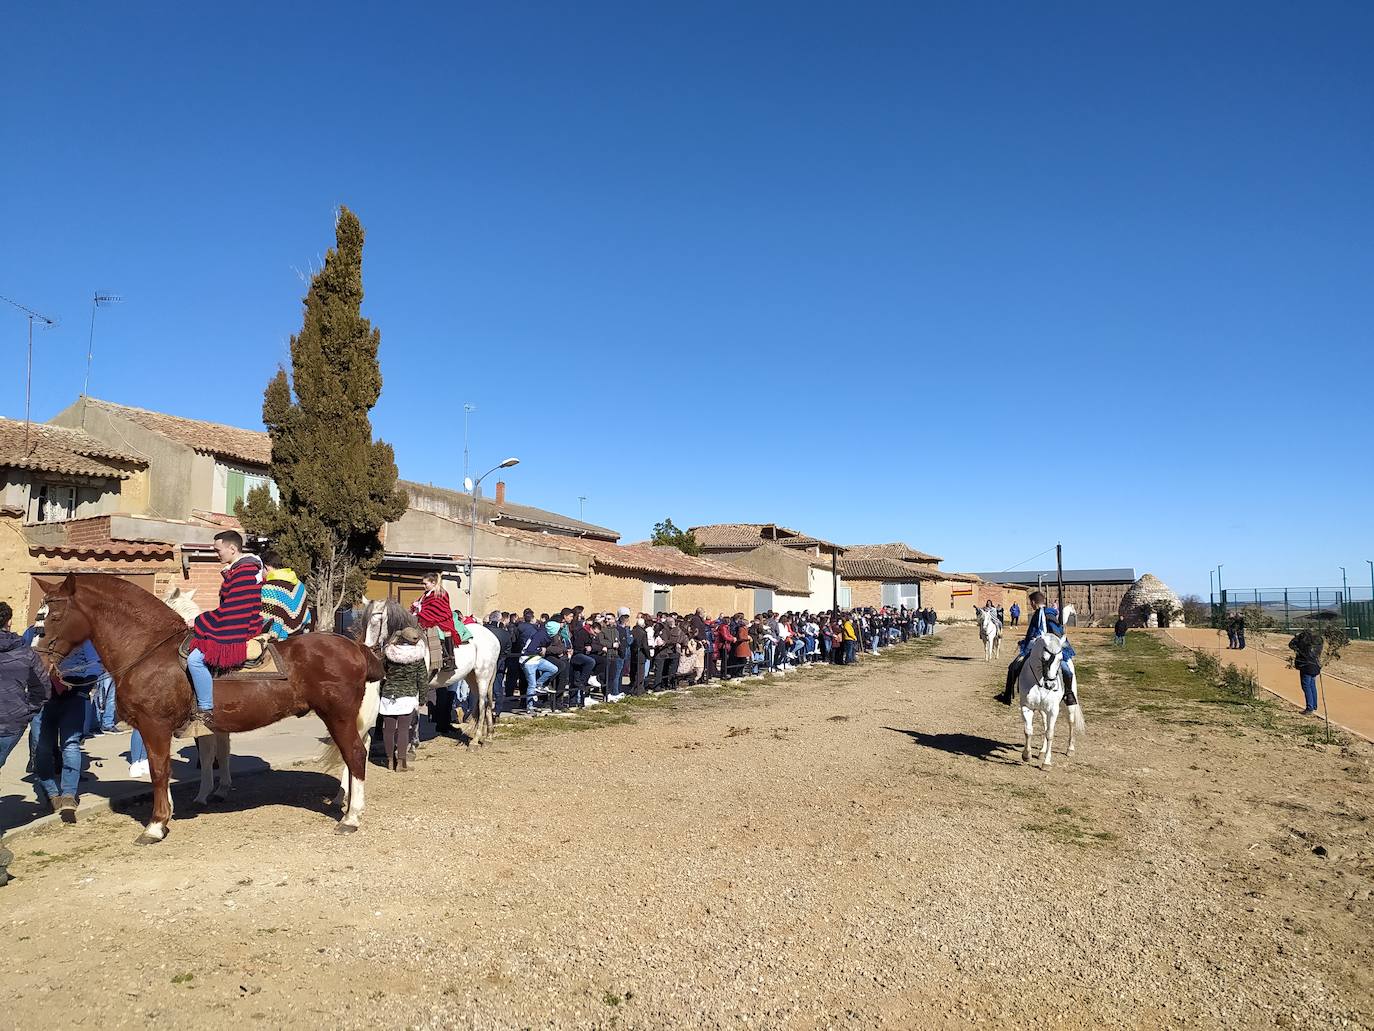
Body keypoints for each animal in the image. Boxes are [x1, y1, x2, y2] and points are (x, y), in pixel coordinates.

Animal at [33, 577, 387, 841]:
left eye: (54, 616)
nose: (38, 658)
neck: (150, 650)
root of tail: (357, 646)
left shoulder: (154, 726)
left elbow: (159, 771)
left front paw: (156, 825)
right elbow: (184, 766)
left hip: (339, 716)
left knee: (356, 755)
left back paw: (351, 818)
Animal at [1011, 635, 1082, 769]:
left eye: (1060, 659)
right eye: (1044, 659)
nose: (1051, 685)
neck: (1039, 682)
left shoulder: (1053, 710)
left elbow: (1050, 733)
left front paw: (1047, 763)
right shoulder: (1026, 708)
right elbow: (1028, 731)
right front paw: (1026, 755)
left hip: (1069, 706)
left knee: (1070, 722)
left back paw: (1070, 749)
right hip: (1042, 710)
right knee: (1044, 725)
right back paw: (1042, 751)